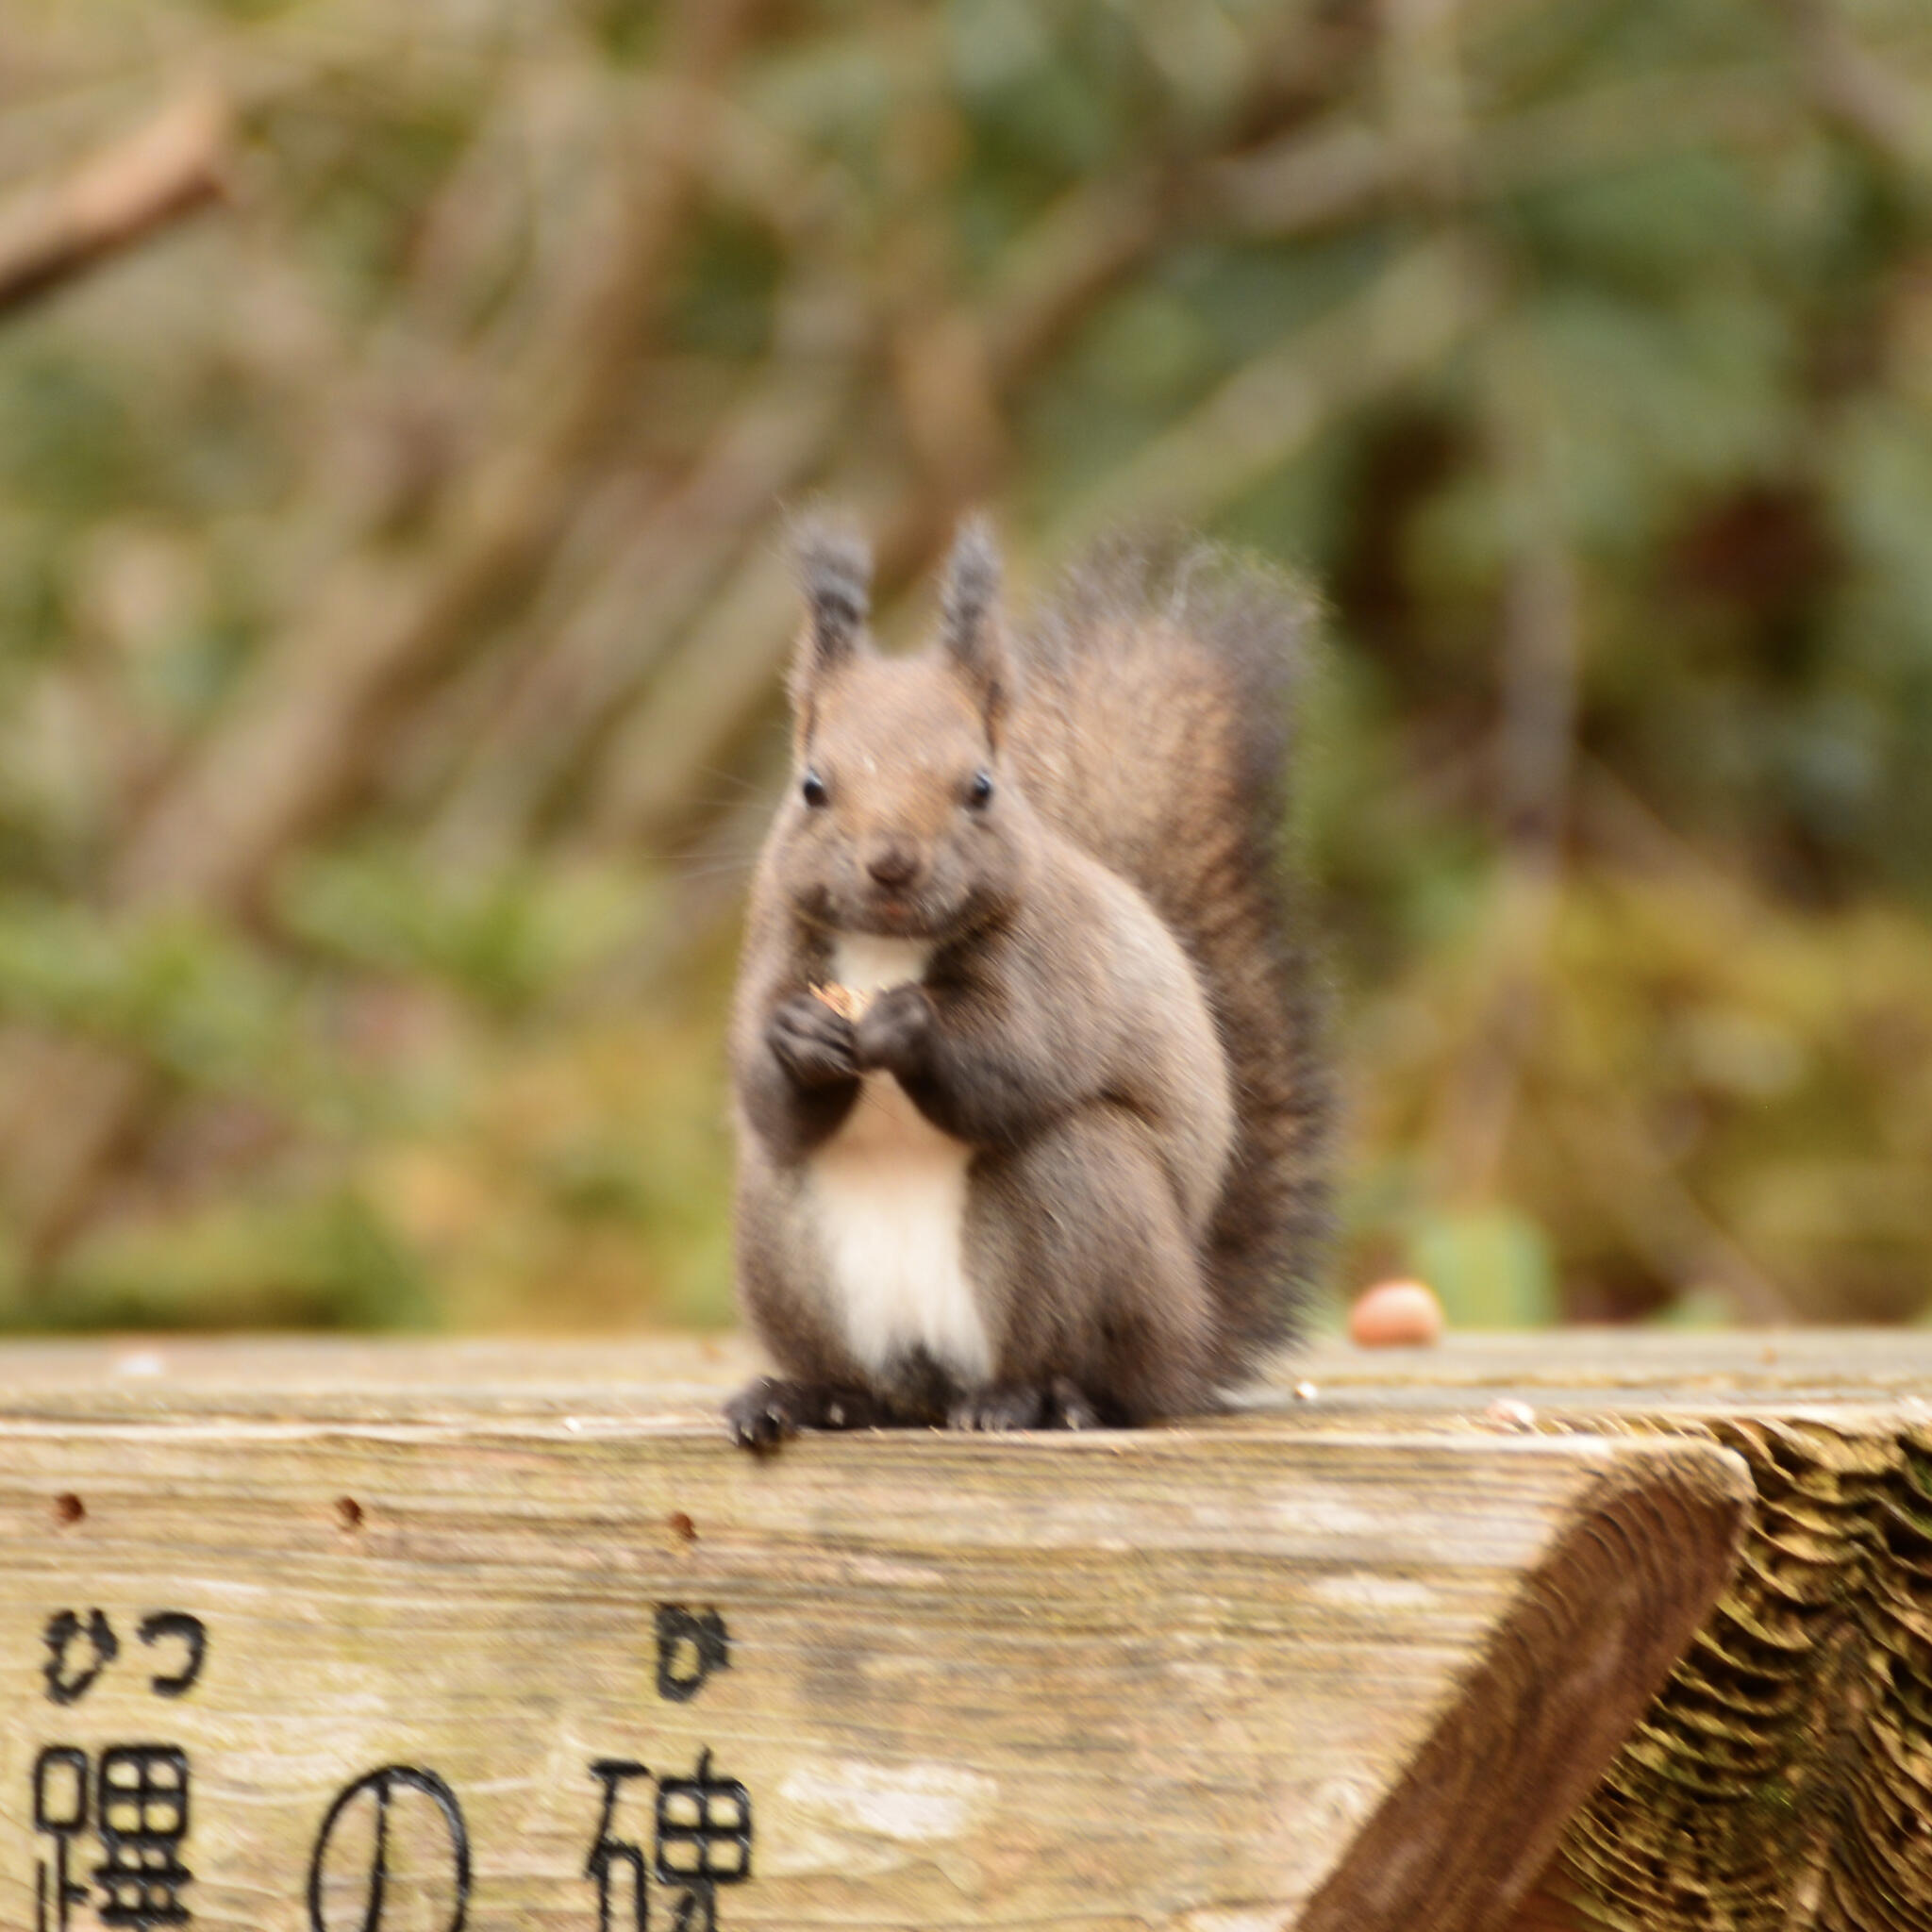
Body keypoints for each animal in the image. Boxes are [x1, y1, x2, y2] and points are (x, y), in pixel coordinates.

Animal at [726, 517, 1329, 1453]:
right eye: (812, 785)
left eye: (981, 786)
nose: (892, 862)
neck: (890, 948)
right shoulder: (775, 947)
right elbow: (766, 1093)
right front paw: (797, 1039)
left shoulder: (1057, 962)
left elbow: (1020, 1060)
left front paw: (912, 1024)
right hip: (779, 1233)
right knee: (869, 1381)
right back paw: (811, 1397)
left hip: (1087, 1198)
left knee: (1105, 1373)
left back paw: (1043, 1400)